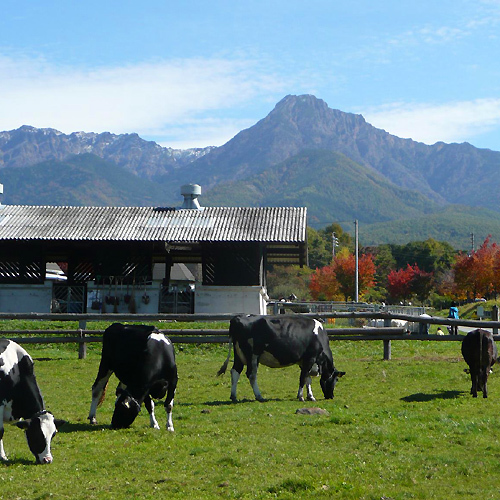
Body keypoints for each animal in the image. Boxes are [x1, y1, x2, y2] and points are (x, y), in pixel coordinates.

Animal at [217, 316, 346, 402]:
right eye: (336, 380)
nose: (331, 396)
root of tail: (237, 318)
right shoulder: (310, 358)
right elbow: (303, 378)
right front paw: (301, 396)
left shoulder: (303, 361)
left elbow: (307, 379)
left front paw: (311, 396)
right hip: (253, 355)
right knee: (251, 374)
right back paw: (259, 396)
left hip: (239, 355)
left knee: (235, 371)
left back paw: (234, 396)